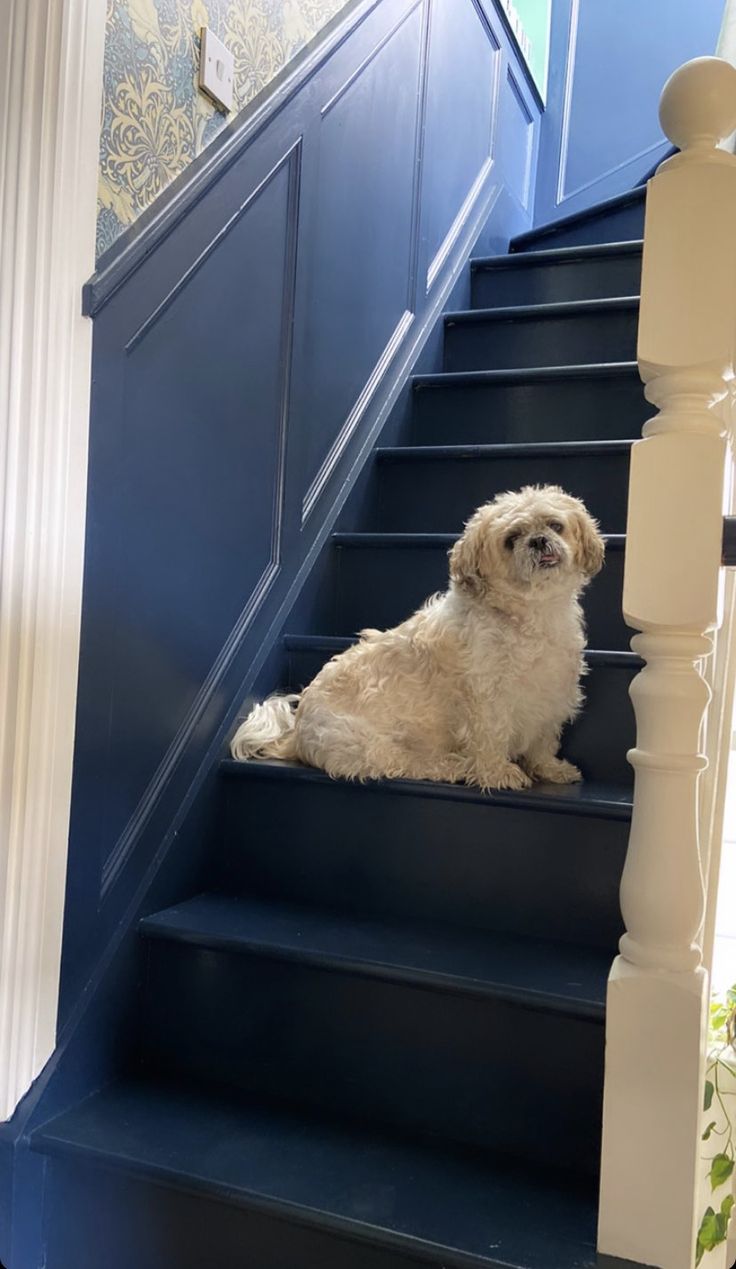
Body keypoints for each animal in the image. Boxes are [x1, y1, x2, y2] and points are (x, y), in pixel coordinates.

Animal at [229, 482, 604, 786]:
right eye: (511, 540)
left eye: (555, 525)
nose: (539, 540)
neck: (529, 616)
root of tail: (297, 732)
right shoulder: (489, 700)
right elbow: (491, 738)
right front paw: (497, 773)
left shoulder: (550, 695)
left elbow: (543, 741)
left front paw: (550, 769)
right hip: (368, 745)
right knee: (404, 764)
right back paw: (452, 766)